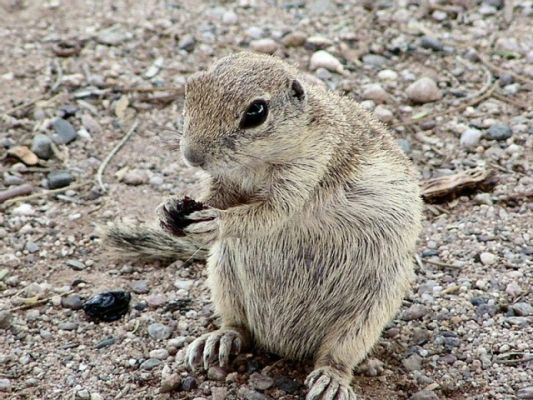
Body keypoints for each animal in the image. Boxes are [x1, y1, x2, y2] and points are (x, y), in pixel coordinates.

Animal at [102, 53, 422, 400]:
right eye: (190, 90)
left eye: (256, 112)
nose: (192, 156)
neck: (254, 164)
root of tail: (283, 346)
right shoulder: (226, 182)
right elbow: (216, 196)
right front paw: (169, 208)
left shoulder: (308, 170)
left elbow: (269, 213)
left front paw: (217, 222)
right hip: (224, 278)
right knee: (239, 328)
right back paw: (220, 339)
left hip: (372, 308)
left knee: (338, 354)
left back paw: (330, 379)